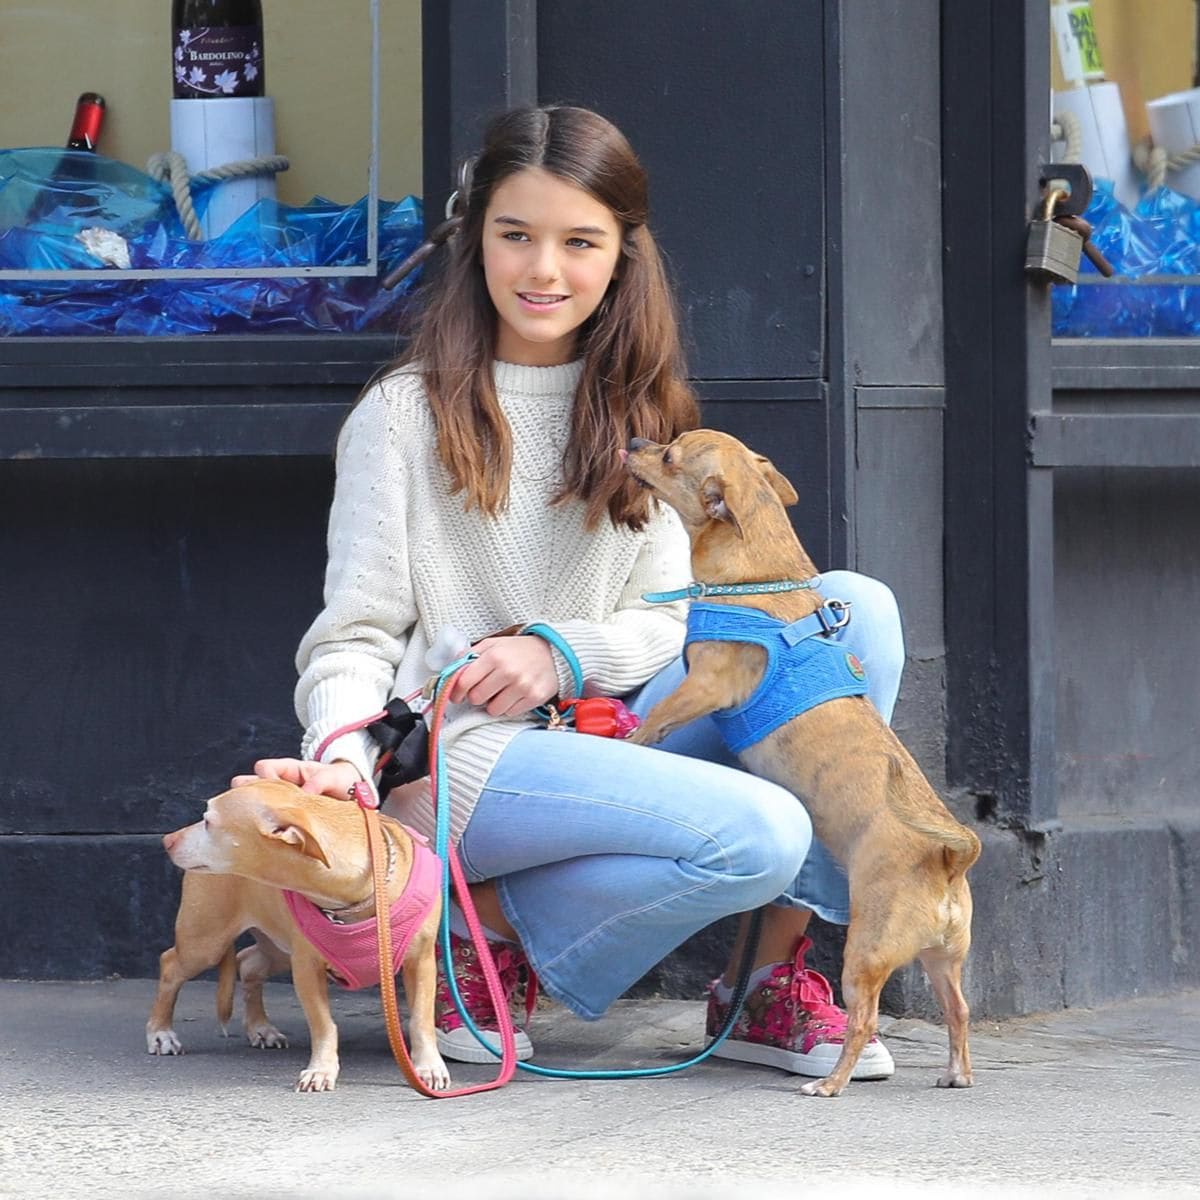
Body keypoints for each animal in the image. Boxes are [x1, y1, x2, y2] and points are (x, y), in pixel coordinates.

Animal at [146, 777, 451, 1099]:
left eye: (208, 822)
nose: (166, 840)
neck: (358, 897)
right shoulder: (306, 968)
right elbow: (324, 1024)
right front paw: (321, 1070)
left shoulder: (421, 962)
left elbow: (420, 1020)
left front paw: (428, 1066)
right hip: (205, 941)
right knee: (170, 965)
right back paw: (161, 1033)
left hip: (277, 949)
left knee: (249, 964)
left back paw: (260, 1028)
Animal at [624, 432, 979, 1099]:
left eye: (670, 457)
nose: (634, 440)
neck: (759, 576)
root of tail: (948, 858)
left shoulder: (705, 685)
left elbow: (658, 715)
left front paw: (632, 736)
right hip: (942, 958)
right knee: (959, 1010)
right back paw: (956, 1073)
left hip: (865, 955)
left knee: (865, 1019)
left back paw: (831, 1084)